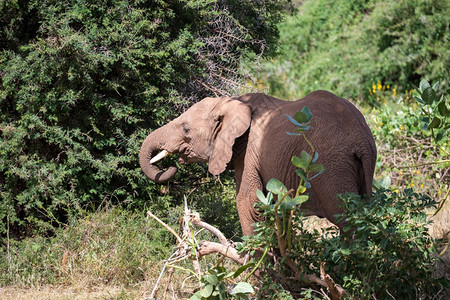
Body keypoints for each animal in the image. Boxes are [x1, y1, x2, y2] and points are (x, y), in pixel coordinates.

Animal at [140, 90, 376, 236]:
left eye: (186, 129)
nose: (172, 165)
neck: (232, 102)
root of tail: (362, 139)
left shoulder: (249, 151)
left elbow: (248, 202)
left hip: (331, 165)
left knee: (346, 219)